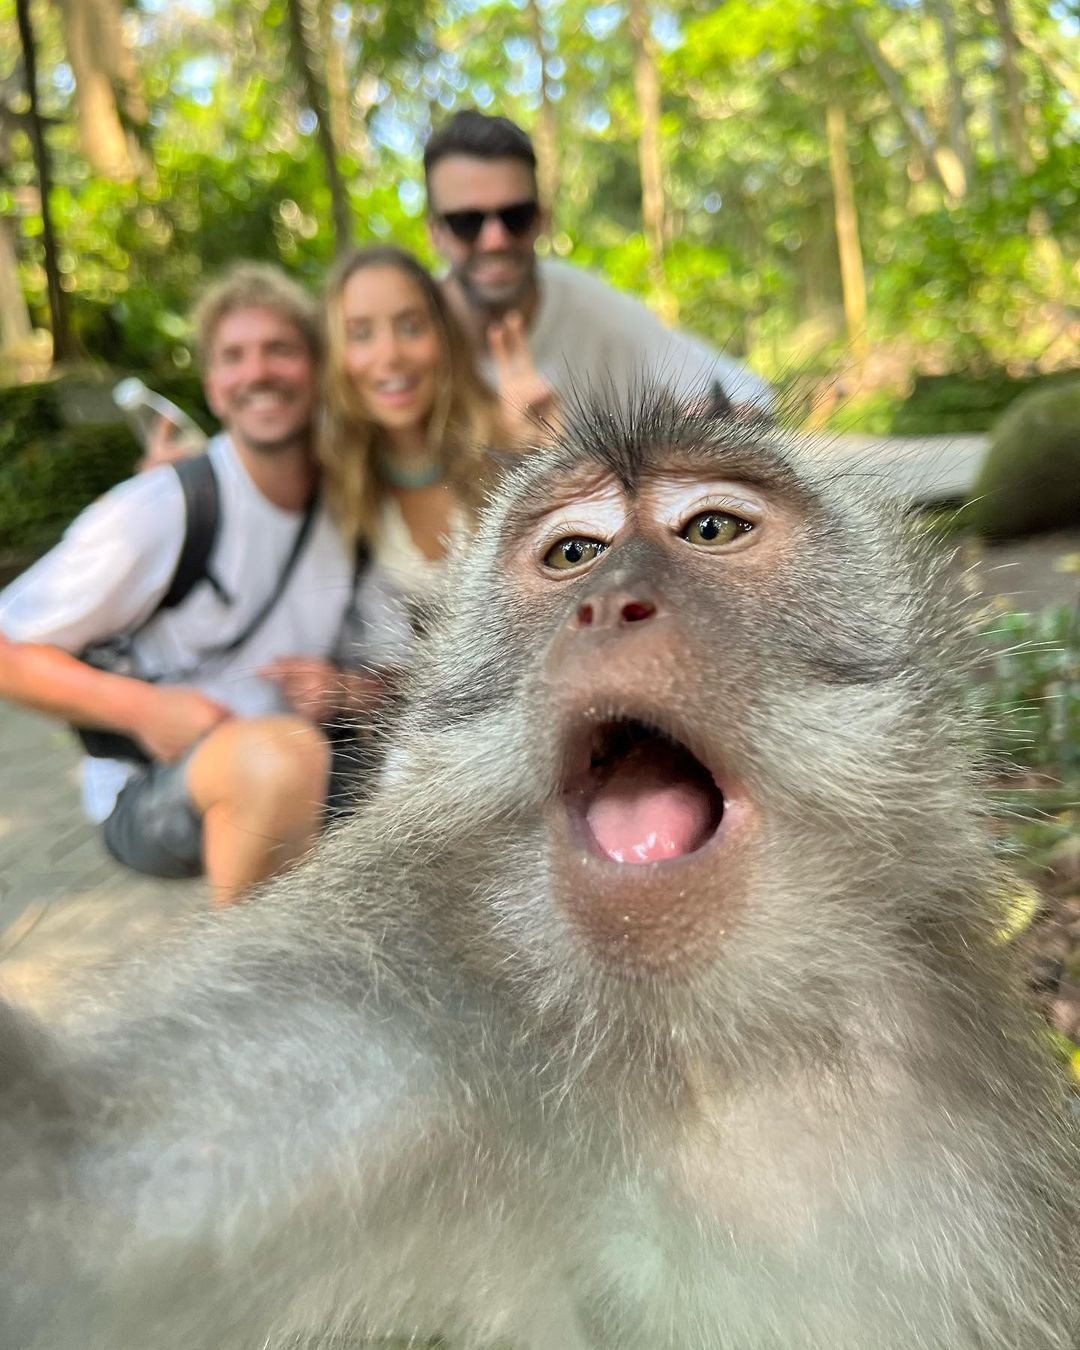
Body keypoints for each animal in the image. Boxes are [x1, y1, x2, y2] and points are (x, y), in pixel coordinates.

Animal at [2, 394, 1080, 1350]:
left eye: (712, 529)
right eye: (572, 555)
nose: (606, 604)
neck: (703, 1050)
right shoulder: (400, 1007)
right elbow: (74, 1186)